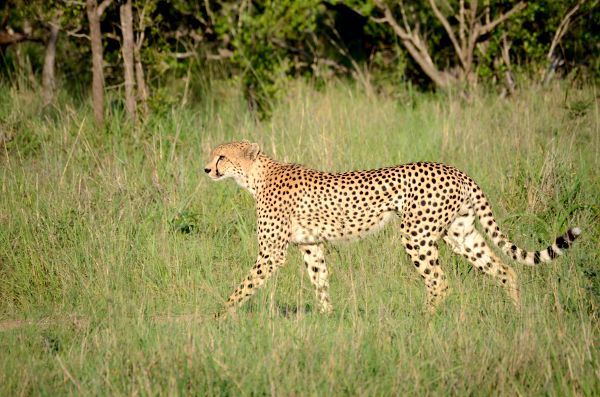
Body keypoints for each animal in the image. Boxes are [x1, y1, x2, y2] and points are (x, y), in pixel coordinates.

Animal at [204, 139, 580, 316]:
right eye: (213, 154)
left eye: (222, 156)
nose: (206, 169)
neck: (256, 177)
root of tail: (457, 170)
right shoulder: (311, 245)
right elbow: (320, 281)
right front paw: (327, 319)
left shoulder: (271, 254)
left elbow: (244, 286)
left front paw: (219, 316)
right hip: (461, 234)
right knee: (504, 269)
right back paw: (517, 316)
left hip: (416, 234)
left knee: (439, 282)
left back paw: (423, 322)